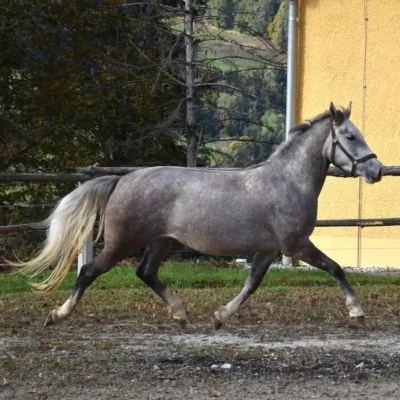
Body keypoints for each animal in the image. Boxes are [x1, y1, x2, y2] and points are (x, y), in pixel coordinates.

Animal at [14, 102, 384, 328]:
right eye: (351, 136)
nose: (377, 170)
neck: (288, 181)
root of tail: (121, 180)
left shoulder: (268, 250)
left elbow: (251, 284)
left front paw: (220, 316)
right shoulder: (296, 245)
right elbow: (335, 268)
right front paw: (357, 312)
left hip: (160, 241)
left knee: (145, 273)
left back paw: (179, 313)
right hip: (122, 242)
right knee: (89, 271)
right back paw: (58, 314)